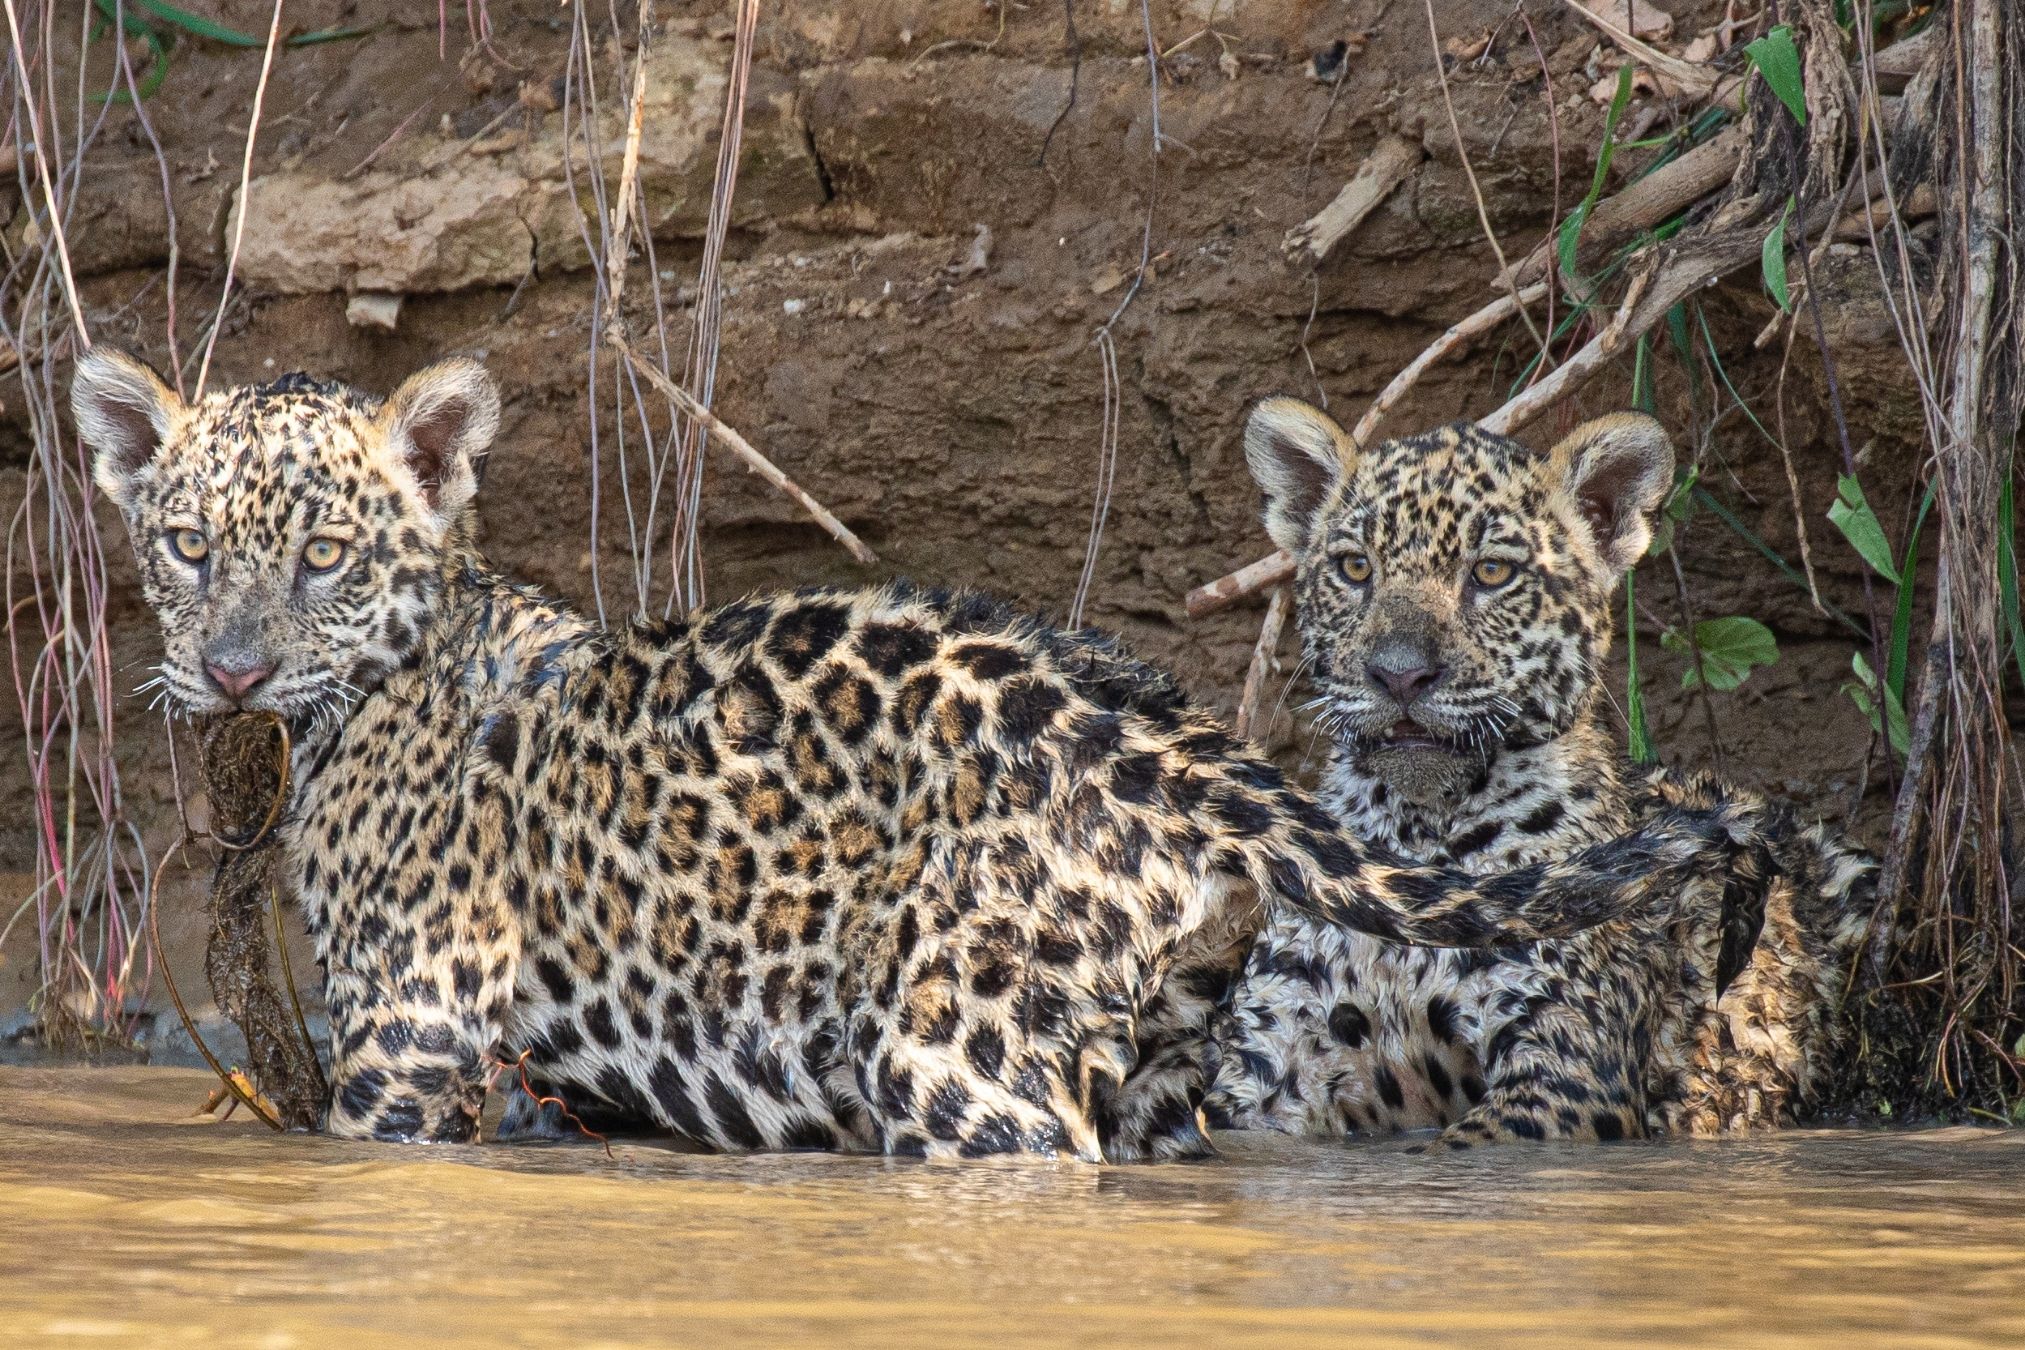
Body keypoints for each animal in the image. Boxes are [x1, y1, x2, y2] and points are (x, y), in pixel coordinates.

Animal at [75, 349, 1775, 1160]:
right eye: (186, 545)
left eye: (323, 559)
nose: (230, 668)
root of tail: (1177, 740)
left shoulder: (413, 1040)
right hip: (1172, 1058)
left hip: (957, 1044)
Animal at [1203, 395, 1876, 1149]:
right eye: (1354, 568)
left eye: (1491, 574)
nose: (1398, 674)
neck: (1418, 828)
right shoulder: (1273, 1064)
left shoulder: (1566, 1063)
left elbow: (1460, 1144)